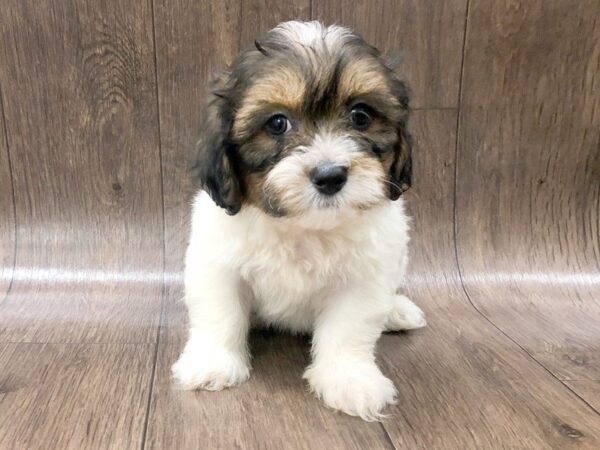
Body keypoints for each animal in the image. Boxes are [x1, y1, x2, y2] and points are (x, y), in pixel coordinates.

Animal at [172, 20, 426, 422]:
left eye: (361, 116)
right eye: (277, 123)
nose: (330, 175)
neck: (304, 227)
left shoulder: (365, 278)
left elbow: (349, 329)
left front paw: (350, 379)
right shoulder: (217, 262)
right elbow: (218, 313)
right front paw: (212, 363)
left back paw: (397, 310)